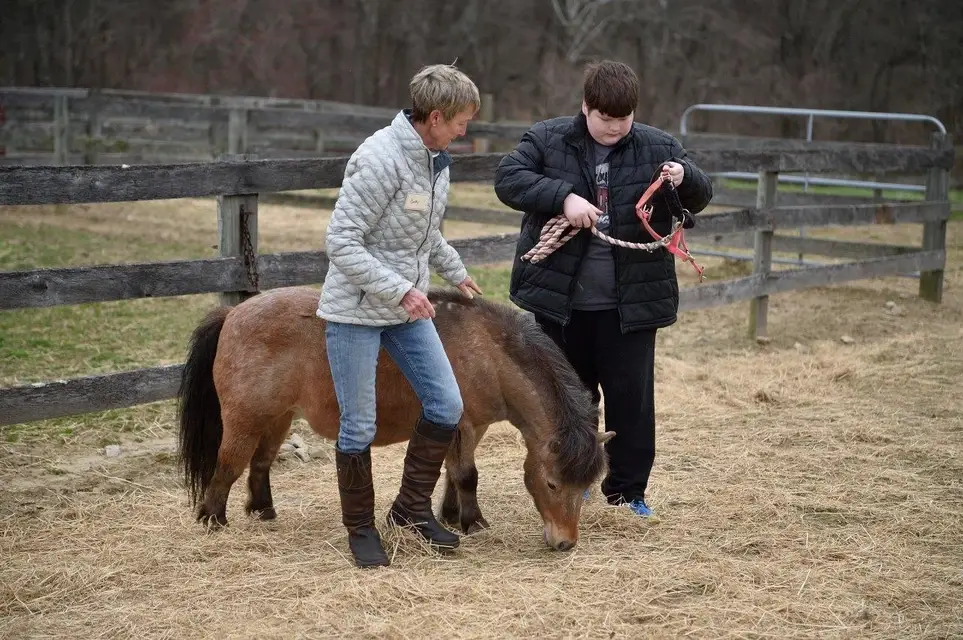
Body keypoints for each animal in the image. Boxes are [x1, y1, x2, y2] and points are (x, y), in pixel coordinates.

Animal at [176, 285, 613, 551]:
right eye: (553, 484)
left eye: (587, 486)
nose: (565, 543)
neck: (487, 350)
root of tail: (233, 312)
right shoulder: (462, 425)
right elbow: (466, 475)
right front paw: (473, 522)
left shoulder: (472, 427)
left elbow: (452, 474)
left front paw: (451, 515)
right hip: (245, 419)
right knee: (229, 465)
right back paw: (213, 520)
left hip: (277, 417)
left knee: (261, 463)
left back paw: (263, 511)